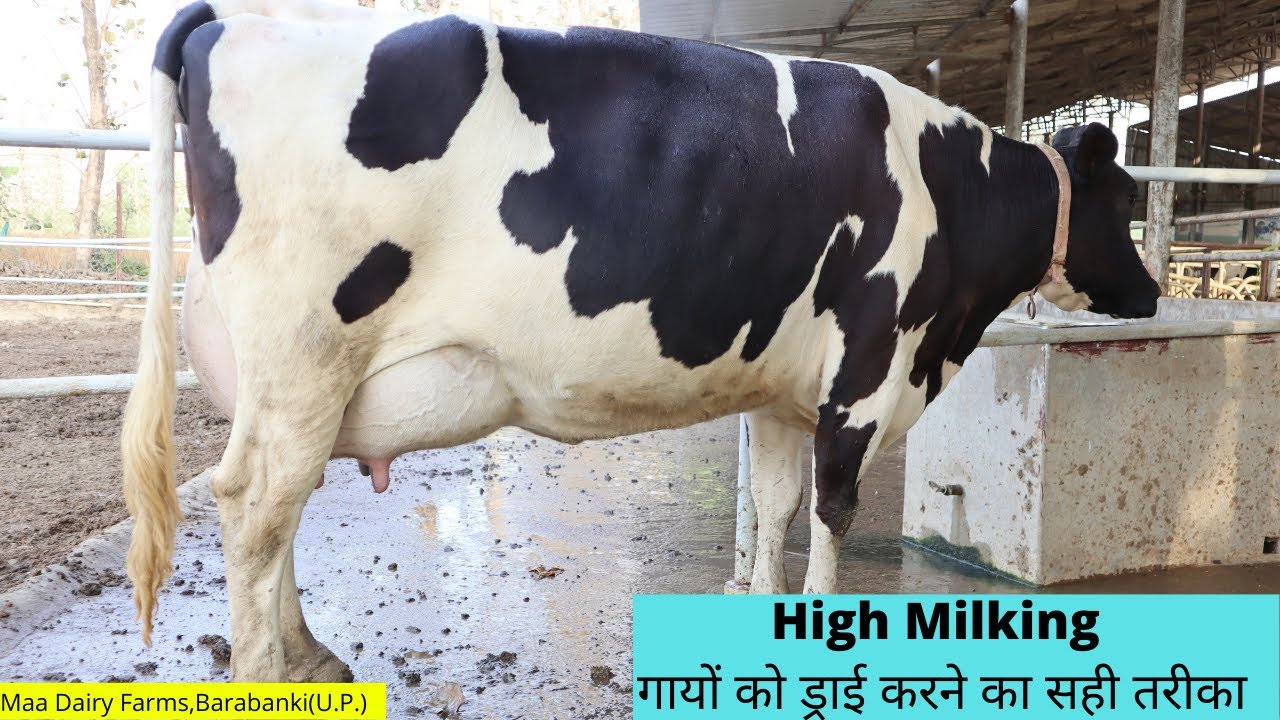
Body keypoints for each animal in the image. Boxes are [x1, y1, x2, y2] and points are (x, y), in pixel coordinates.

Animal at [122, 0, 1160, 682]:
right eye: (1125, 199)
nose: (1153, 293)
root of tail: (229, 21)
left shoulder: (787, 391)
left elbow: (777, 503)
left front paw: (760, 605)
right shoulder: (867, 370)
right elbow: (832, 509)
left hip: (295, 378)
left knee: (278, 508)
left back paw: (311, 655)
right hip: (304, 352)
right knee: (258, 504)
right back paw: (269, 671)